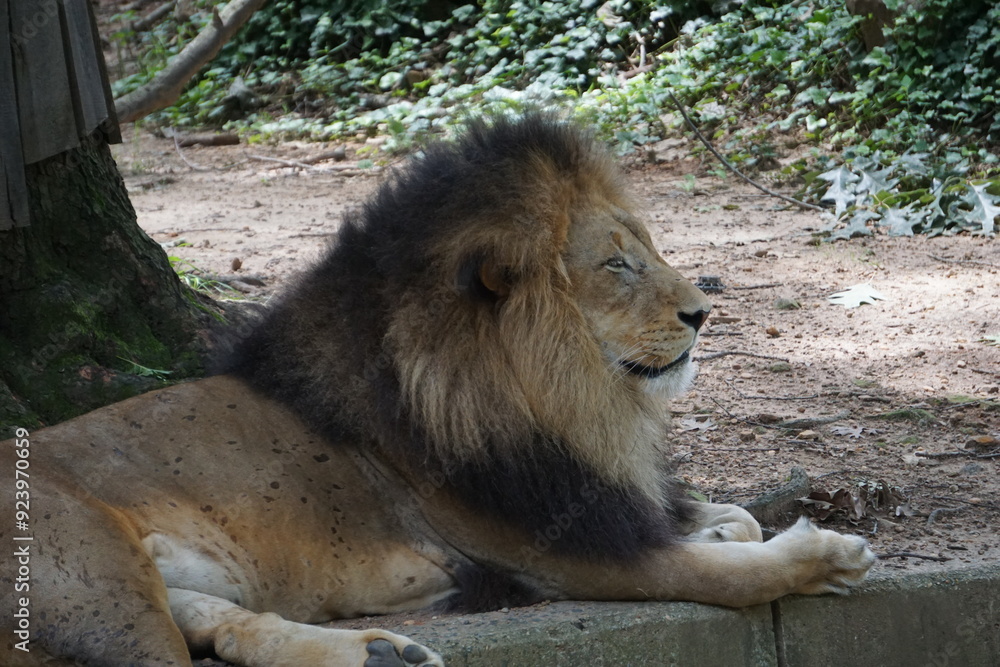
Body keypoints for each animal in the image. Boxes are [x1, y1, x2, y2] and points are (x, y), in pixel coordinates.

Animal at [1, 114, 875, 667]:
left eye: (649, 250)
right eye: (616, 264)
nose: (703, 311)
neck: (559, 398)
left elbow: (727, 516)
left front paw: (727, 525)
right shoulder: (558, 554)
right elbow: (718, 573)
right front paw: (823, 553)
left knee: (217, 622)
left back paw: (382, 652)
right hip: (100, 588)